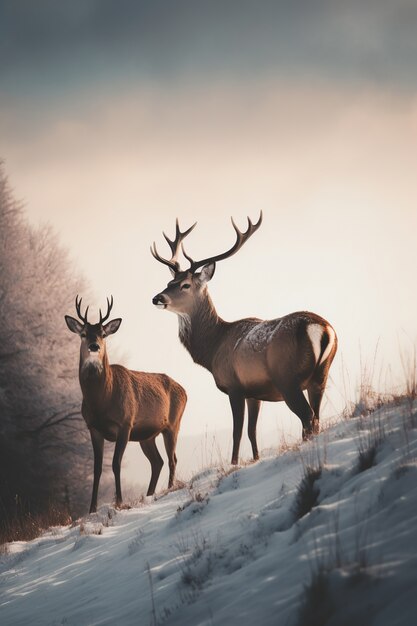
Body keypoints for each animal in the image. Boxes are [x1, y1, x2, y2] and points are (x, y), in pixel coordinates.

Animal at [64, 294, 185, 510]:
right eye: (84, 333)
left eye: (103, 334)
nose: (94, 346)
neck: (101, 402)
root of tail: (185, 391)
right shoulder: (93, 427)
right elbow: (97, 468)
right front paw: (92, 508)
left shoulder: (125, 424)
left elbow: (115, 463)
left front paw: (119, 501)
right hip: (147, 435)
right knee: (158, 462)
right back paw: (149, 494)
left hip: (173, 424)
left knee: (172, 459)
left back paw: (169, 488)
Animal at [151, 214, 336, 464]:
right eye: (169, 282)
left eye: (185, 284)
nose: (157, 298)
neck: (213, 348)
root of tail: (323, 329)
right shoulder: (254, 393)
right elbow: (252, 431)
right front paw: (255, 458)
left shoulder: (234, 386)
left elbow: (237, 432)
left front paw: (233, 463)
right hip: (320, 376)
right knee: (315, 417)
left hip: (288, 378)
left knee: (308, 418)